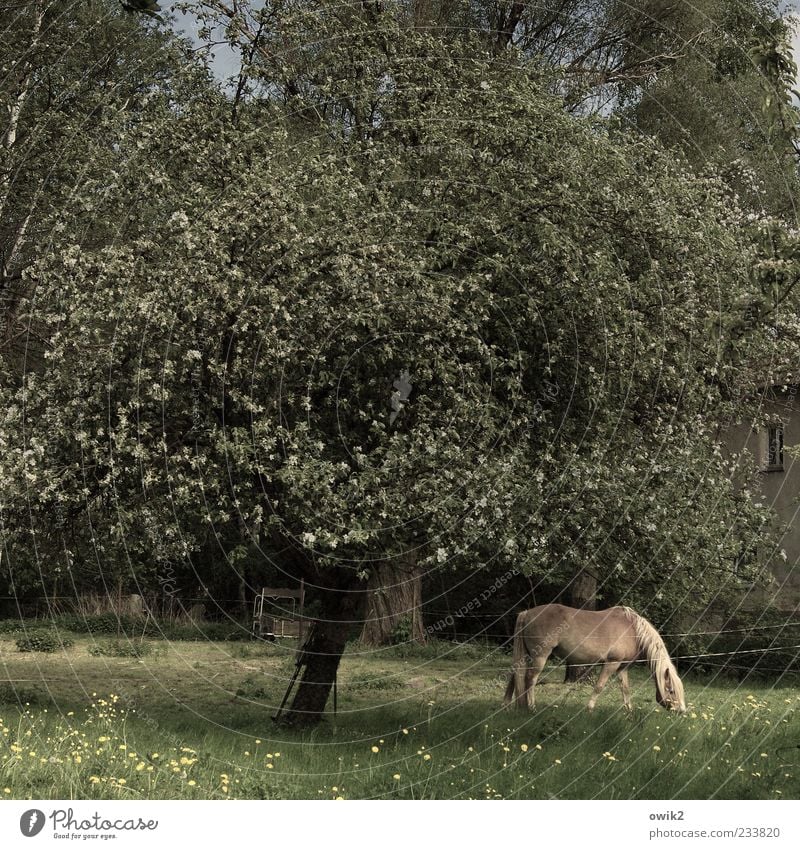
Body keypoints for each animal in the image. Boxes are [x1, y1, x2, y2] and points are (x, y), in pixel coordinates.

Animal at [504, 600, 684, 712]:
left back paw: (508, 706)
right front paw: (589, 709)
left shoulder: (622, 668)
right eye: (671, 690)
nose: (681, 711)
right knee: (530, 679)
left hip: (525, 655)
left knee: (515, 676)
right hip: (539, 657)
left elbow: (625, 690)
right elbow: (599, 687)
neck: (633, 631)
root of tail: (527, 613)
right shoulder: (611, 664)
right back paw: (531, 708)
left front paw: (630, 714)